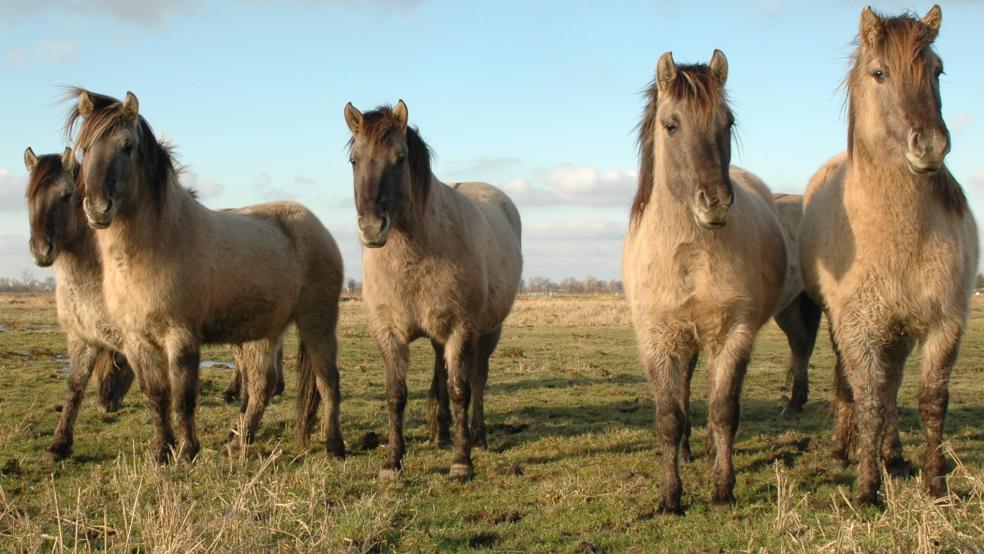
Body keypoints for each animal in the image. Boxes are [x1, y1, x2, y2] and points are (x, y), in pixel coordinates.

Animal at [68, 89, 346, 461]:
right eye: (84, 149)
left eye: (126, 146)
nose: (97, 209)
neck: (158, 245)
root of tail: (316, 225)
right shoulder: (138, 340)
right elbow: (156, 396)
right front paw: (161, 451)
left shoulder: (182, 336)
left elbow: (183, 397)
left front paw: (187, 450)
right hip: (263, 332)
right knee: (262, 386)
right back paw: (238, 442)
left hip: (317, 323)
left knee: (327, 382)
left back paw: (335, 446)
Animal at [344, 100, 522, 480]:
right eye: (354, 159)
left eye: (399, 159)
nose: (371, 228)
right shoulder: (388, 332)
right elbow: (396, 394)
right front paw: (392, 461)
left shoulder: (461, 330)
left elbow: (459, 390)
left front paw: (461, 462)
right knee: (441, 373)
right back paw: (439, 433)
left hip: (488, 331)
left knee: (478, 380)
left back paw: (478, 437)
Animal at [622, 50, 790, 513]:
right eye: (671, 124)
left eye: (727, 122)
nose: (715, 203)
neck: (690, 256)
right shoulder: (657, 336)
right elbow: (668, 414)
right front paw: (670, 496)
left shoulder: (734, 332)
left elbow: (724, 408)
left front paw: (722, 489)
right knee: (683, 392)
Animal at [799, 5, 978, 505]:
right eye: (879, 72)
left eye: (937, 71)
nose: (931, 145)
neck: (900, 236)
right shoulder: (858, 327)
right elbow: (870, 400)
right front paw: (866, 488)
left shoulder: (945, 322)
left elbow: (930, 400)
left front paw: (935, 483)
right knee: (854, 386)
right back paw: (844, 451)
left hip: (897, 332)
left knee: (894, 385)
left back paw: (894, 456)